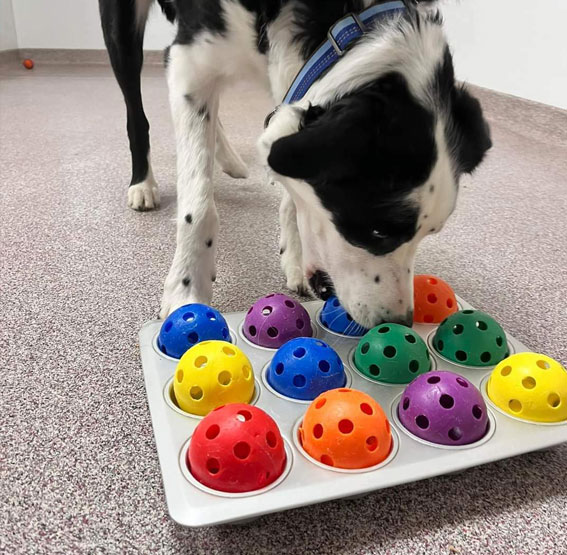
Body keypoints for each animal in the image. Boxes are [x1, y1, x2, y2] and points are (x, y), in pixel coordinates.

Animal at [100, 0, 490, 328]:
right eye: (378, 232)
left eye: (429, 233)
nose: (398, 322)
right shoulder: (189, 62)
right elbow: (199, 205)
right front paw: (187, 288)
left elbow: (291, 185)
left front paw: (294, 255)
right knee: (136, 114)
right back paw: (143, 183)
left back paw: (228, 158)